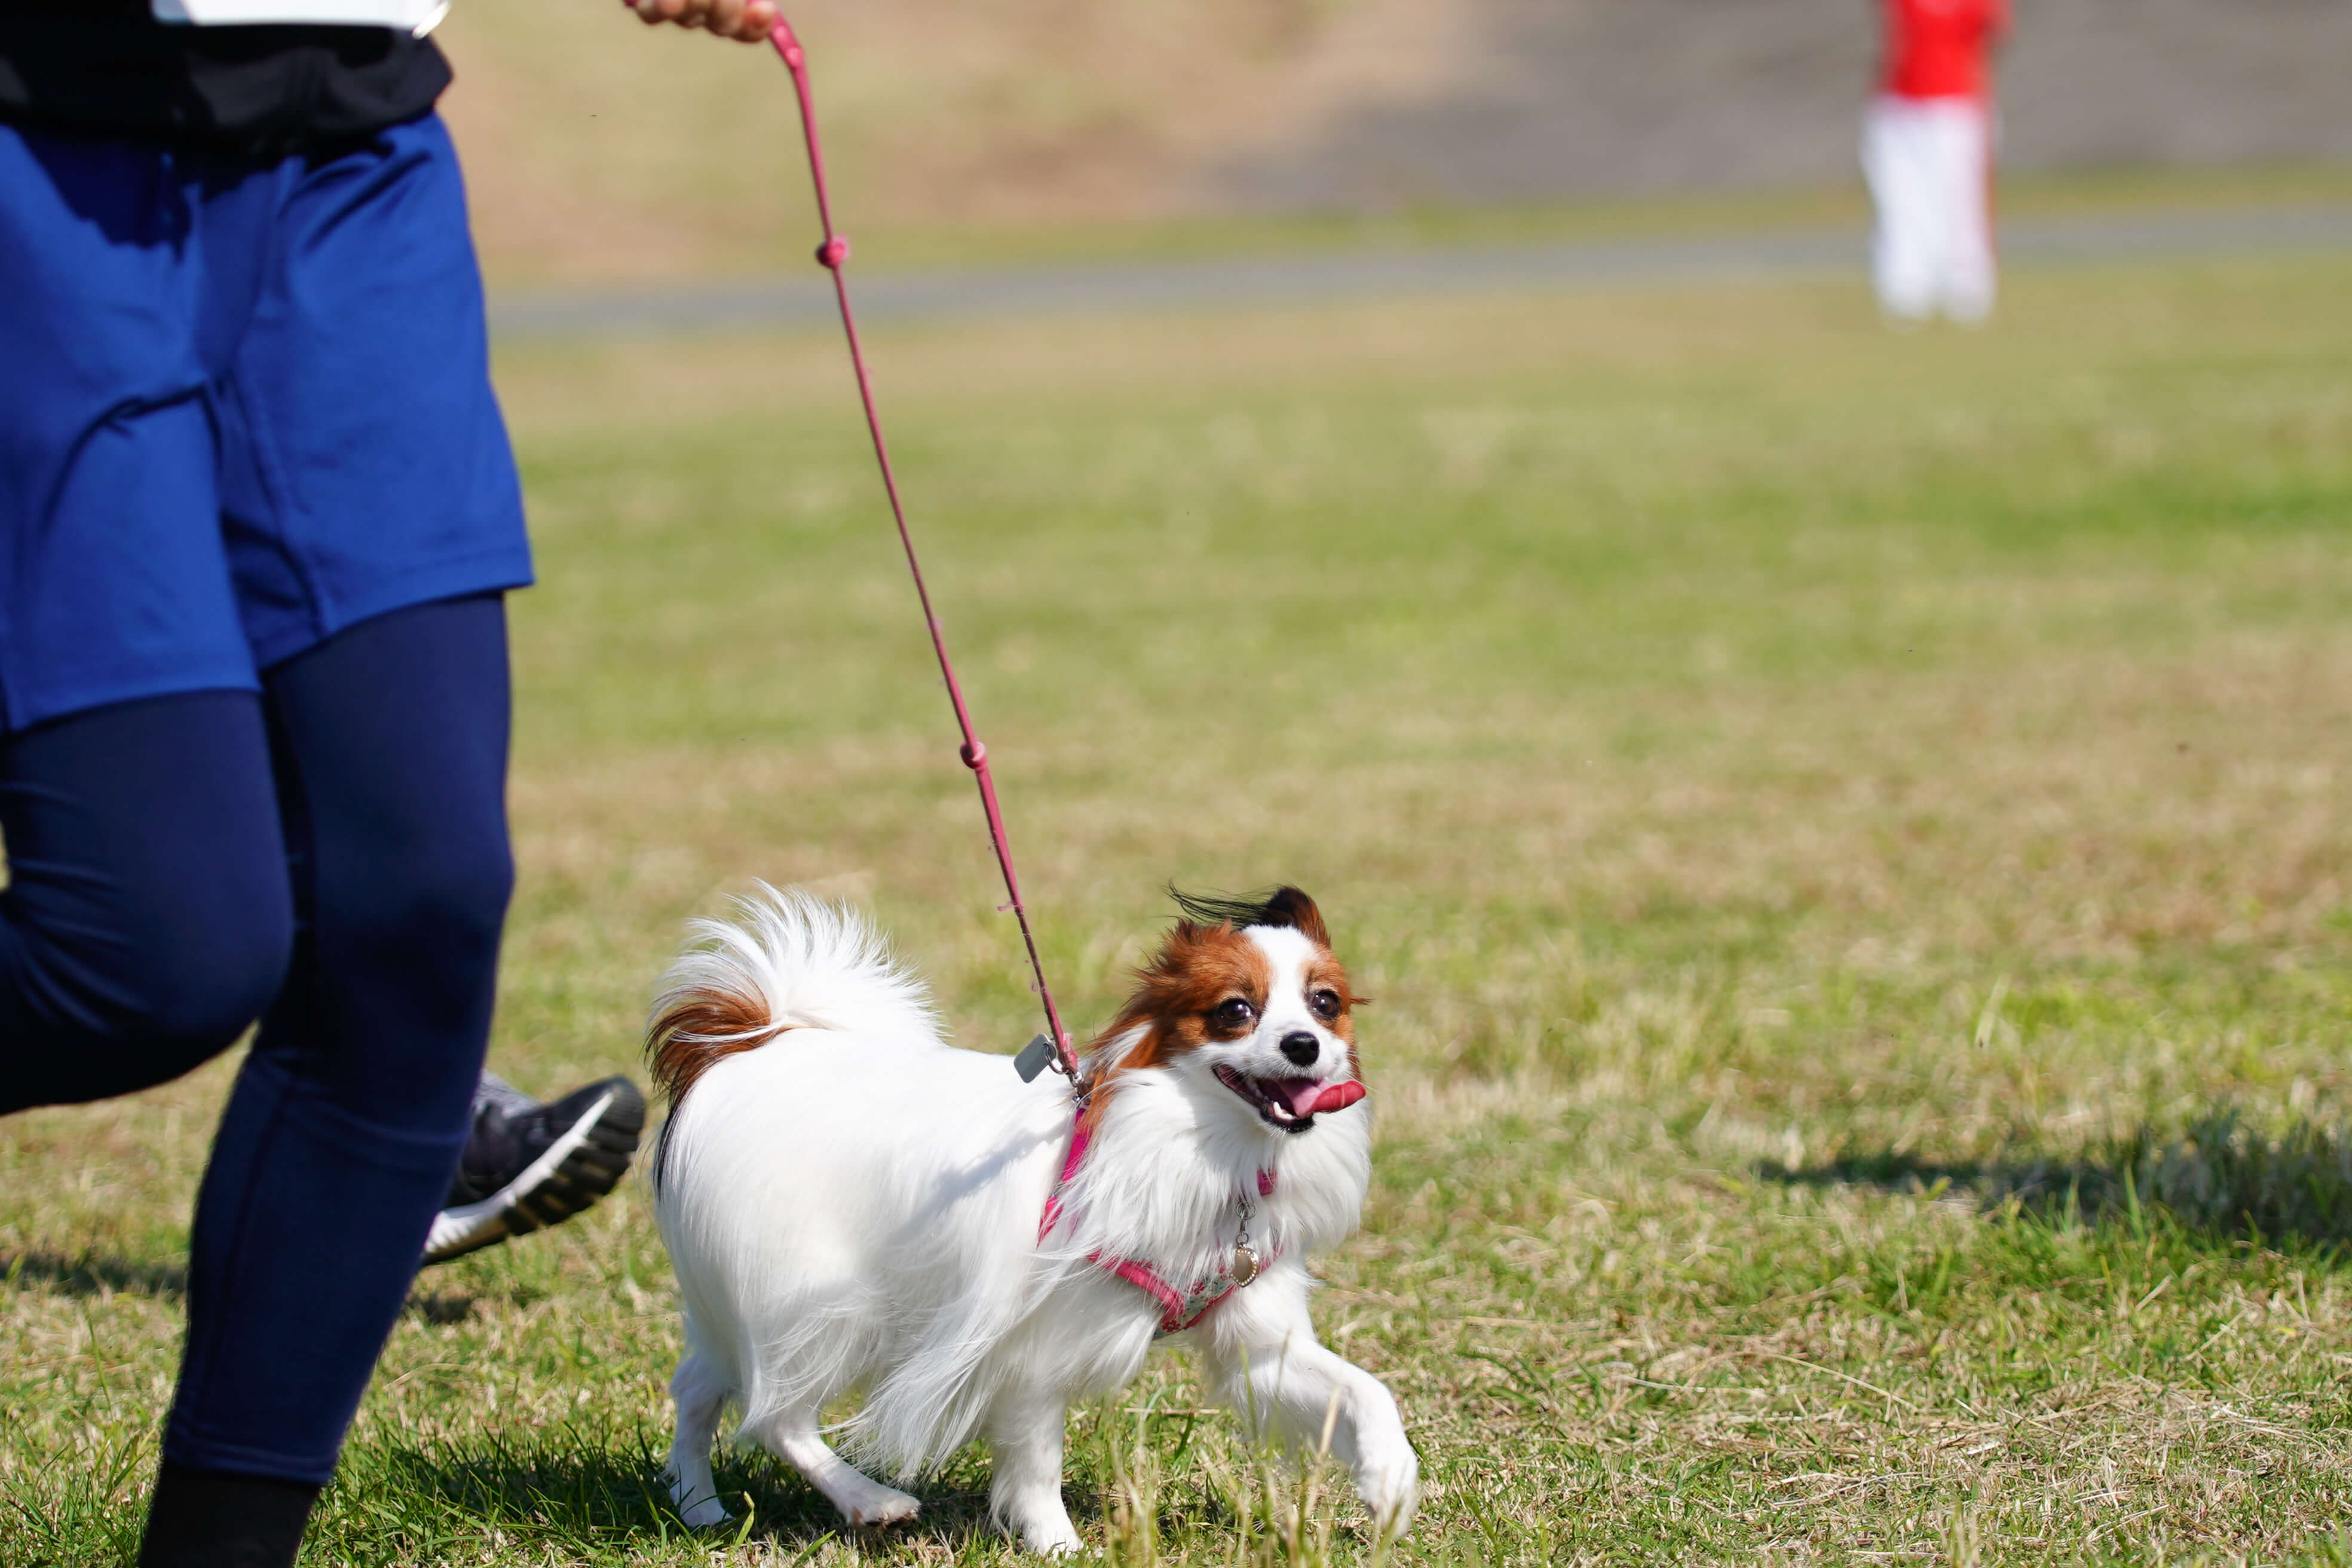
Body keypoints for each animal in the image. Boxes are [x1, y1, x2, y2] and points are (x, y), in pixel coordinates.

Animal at [644, 883, 1418, 1554]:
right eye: (1236, 1010)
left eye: (1325, 1004)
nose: (1303, 1045)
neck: (1204, 1144)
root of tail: (748, 1045)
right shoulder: (1033, 1352)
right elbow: (1037, 1459)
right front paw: (1059, 1544)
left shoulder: (1257, 1340)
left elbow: (1365, 1389)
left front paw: (1391, 1480)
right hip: (825, 1303)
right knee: (777, 1416)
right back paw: (869, 1499)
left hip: (740, 1302)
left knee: (699, 1388)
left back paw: (699, 1505)